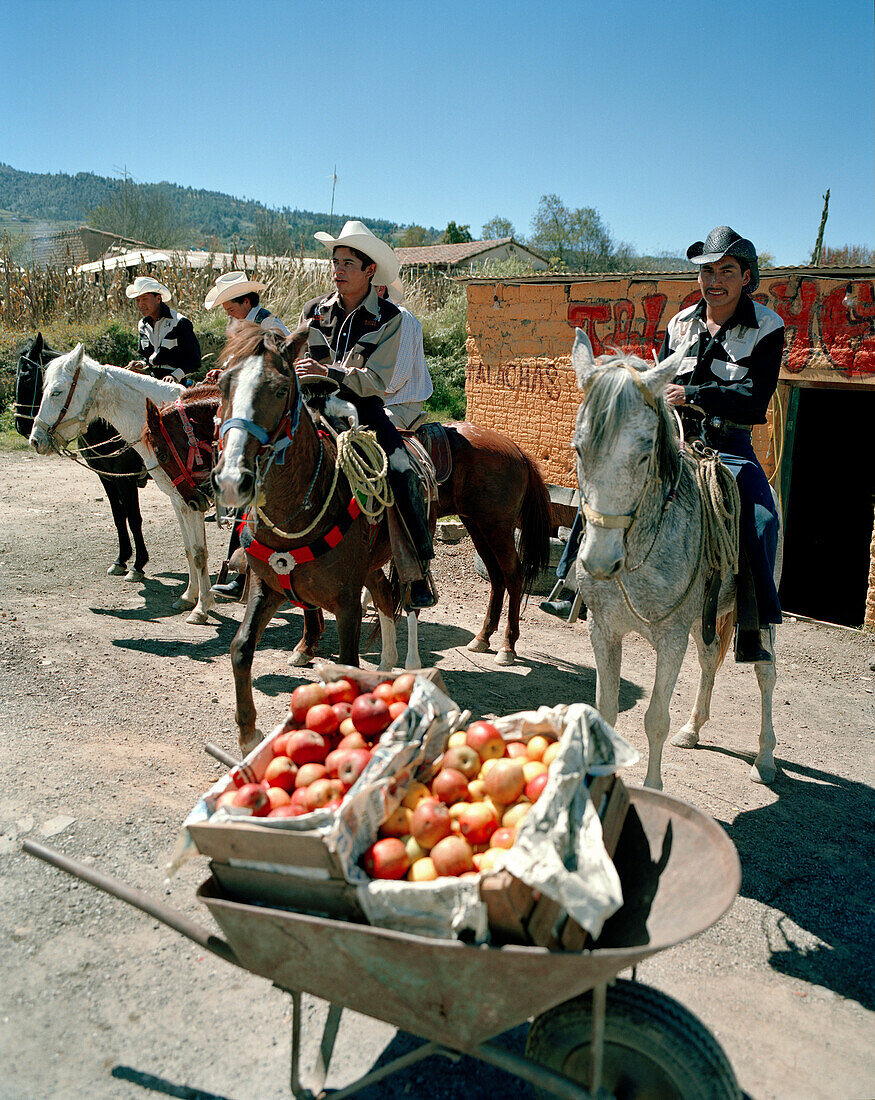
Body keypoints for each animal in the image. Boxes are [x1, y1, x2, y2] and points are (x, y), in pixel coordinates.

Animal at [15, 332, 149, 576]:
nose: (22, 426)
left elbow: (134, 517)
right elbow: (119, 515)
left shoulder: (125, 478)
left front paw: (138, 564)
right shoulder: (106, 476)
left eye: (27, 377)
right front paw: (121, 558)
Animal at [29, 343, 214, 624]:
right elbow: (189, 549)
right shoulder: (180, 497)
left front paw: (201, 607)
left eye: (56, 391)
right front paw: (188, 597)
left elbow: (198, 550)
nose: (35, 439)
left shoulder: (185, 496)